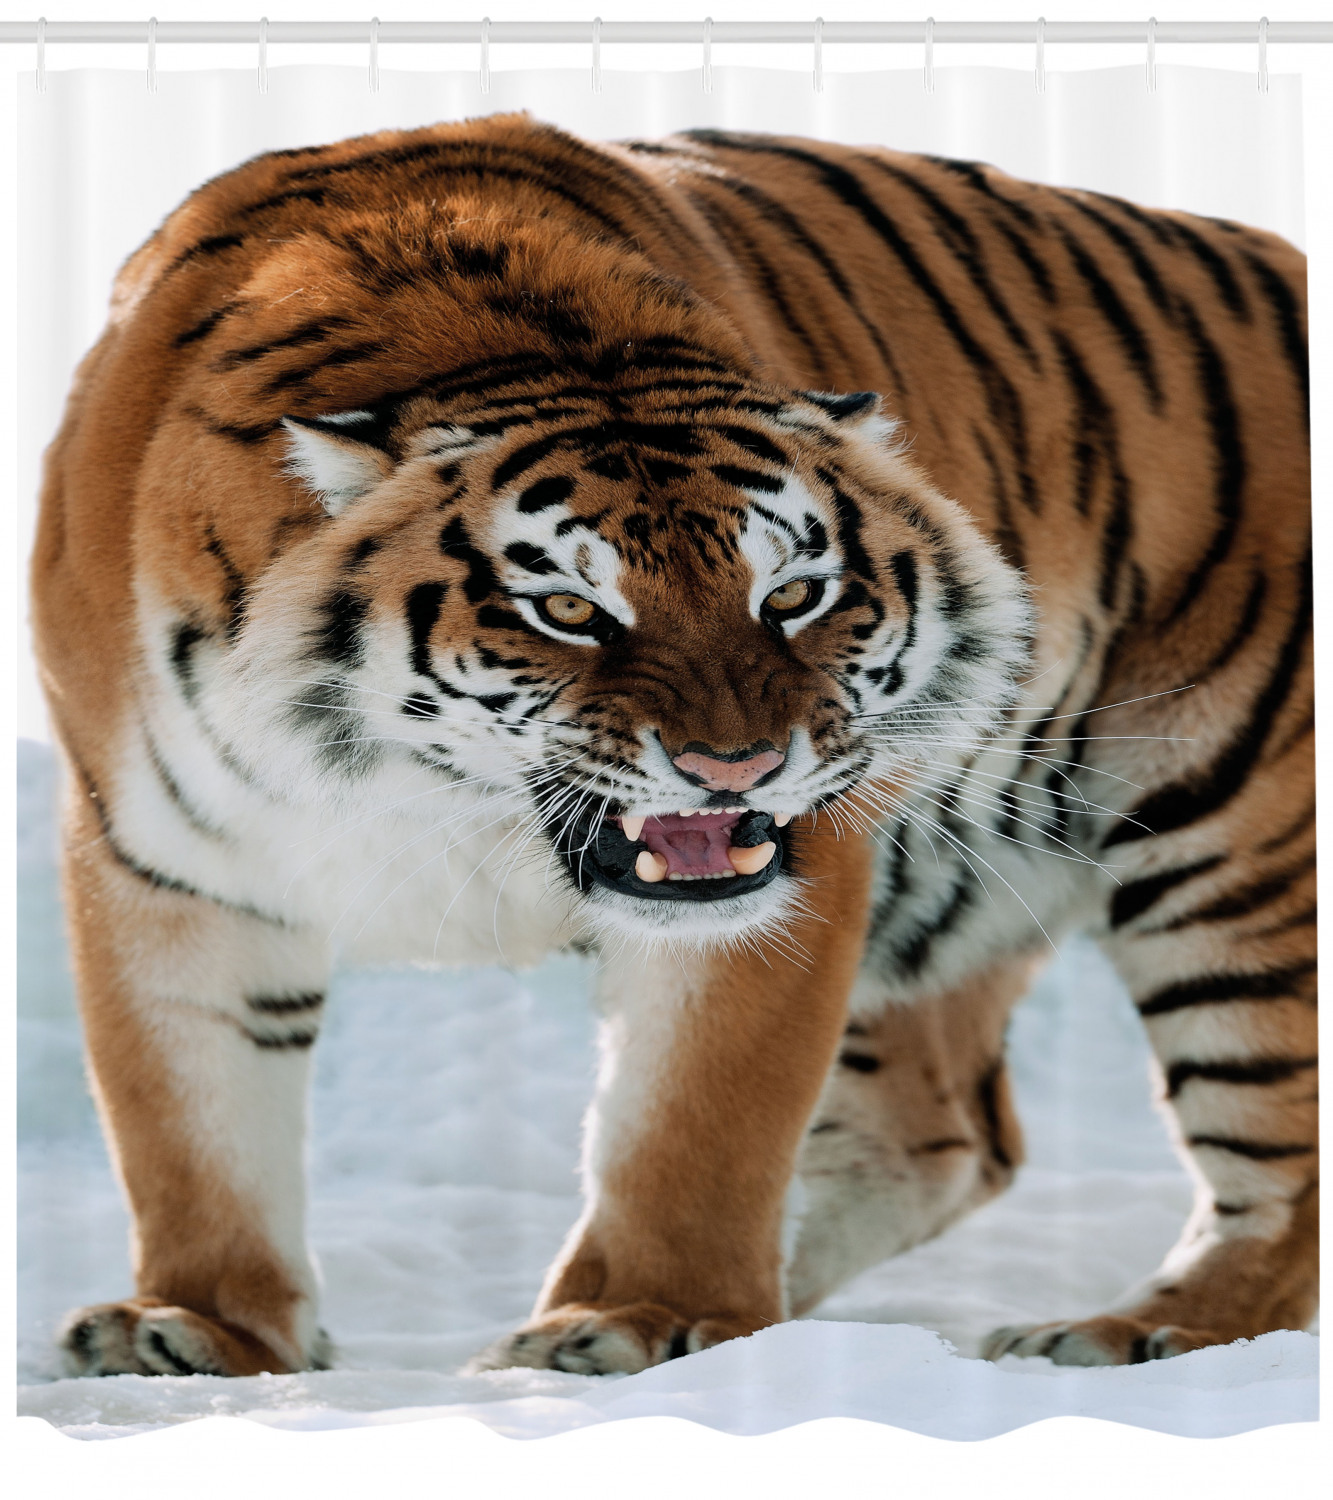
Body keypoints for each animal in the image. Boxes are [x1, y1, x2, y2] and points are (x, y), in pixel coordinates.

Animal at [32, 113, 1313, 1381]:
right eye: (568, 610)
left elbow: (696, 1120)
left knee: (1275, 1176)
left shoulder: (787, 883)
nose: (736, 765)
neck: (417, 795)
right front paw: (198, 1326)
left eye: (792, 594)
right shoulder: (162, 858)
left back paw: (1130, 1334)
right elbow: (189, 1117)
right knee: (945, 1130)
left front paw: (643, 1319)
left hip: (1237, 845)